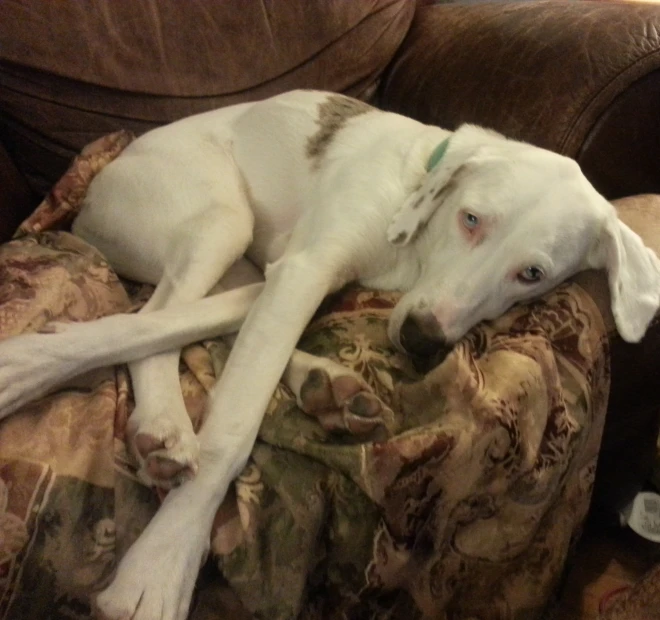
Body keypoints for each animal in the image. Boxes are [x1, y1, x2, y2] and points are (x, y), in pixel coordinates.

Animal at [1, 88, 660, 620]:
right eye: (471, 219)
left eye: (532, 273)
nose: (422, 341)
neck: (410, 228)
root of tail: (86, 202)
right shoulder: (307, 268)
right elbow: (231, 427)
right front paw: (162, 563)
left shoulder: (298, 275)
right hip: (219, 219)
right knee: (153, 317)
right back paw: (162, 422)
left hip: (250, 266)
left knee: (182, 322)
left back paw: (322, 386)